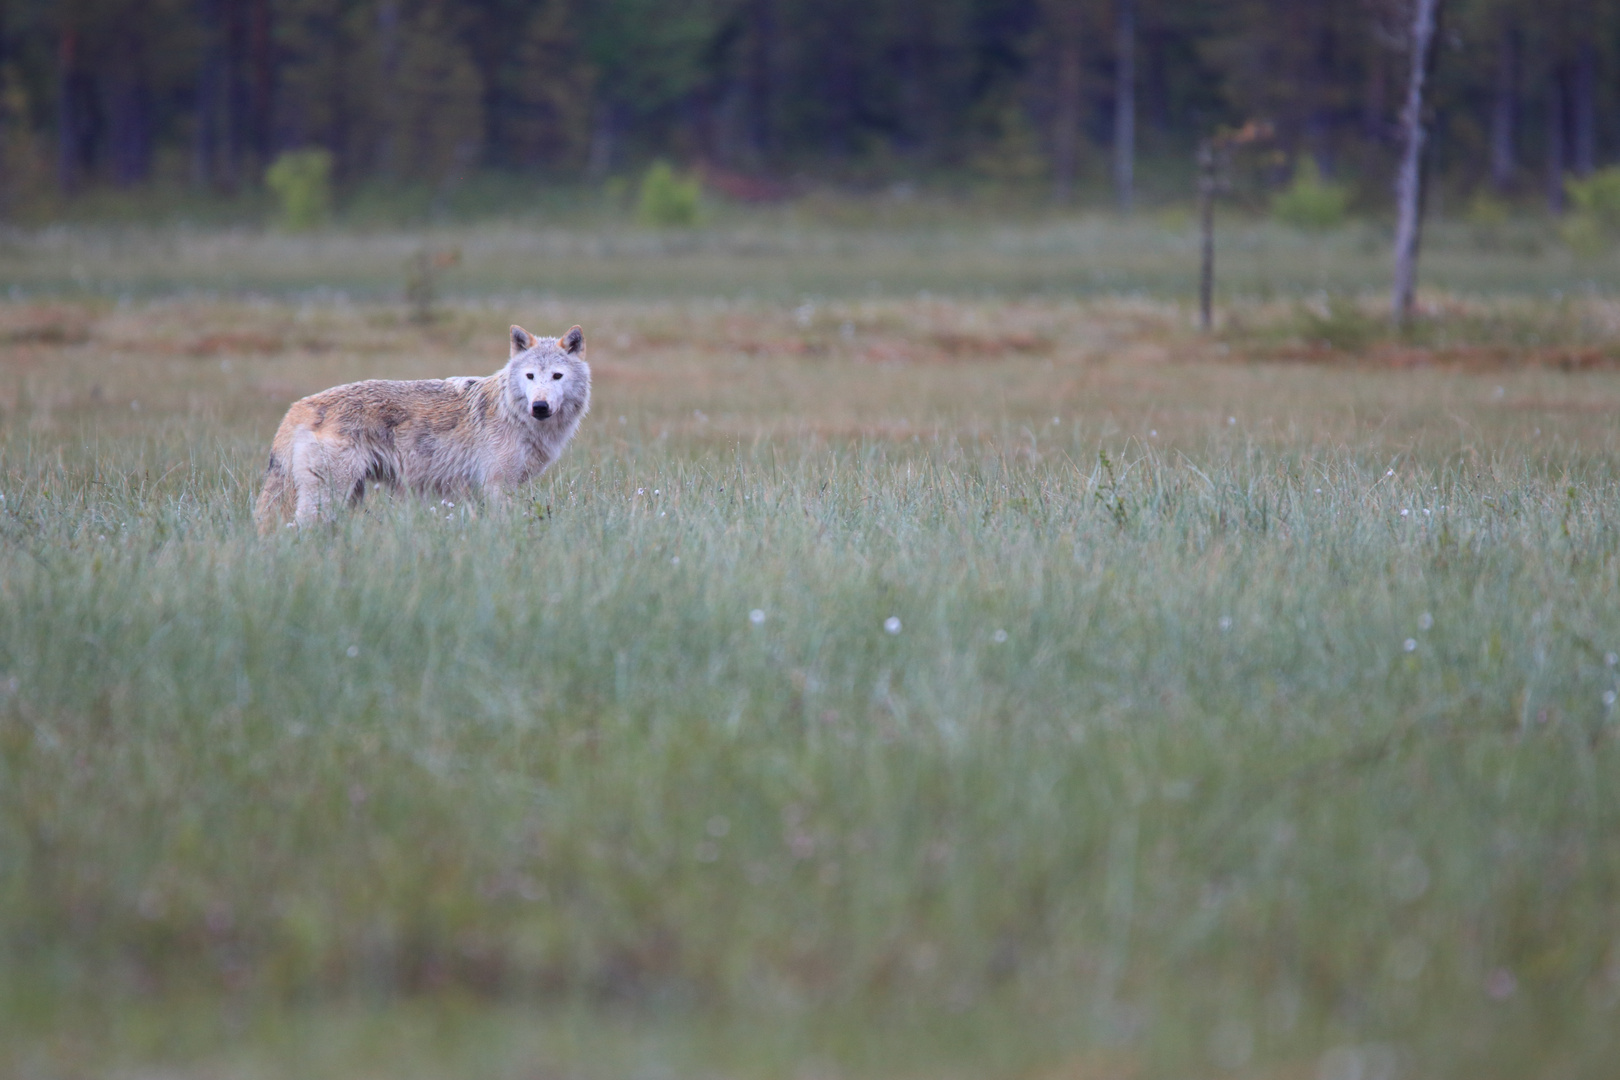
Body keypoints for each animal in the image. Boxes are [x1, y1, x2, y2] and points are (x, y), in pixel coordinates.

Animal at [249, 325, 586, 537]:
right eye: (530, 376)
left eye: (557, 376)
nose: (539, 406)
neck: (513, 413)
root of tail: (297, 407)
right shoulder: (497, 485)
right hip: (328, 495)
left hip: (349, 496)